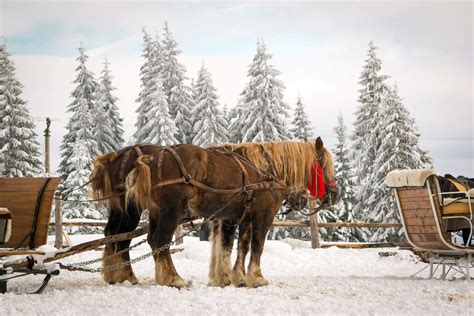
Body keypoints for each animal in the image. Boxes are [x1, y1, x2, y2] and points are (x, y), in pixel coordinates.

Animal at [124, 137, 338, 288]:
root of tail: (155, 159)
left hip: (157, 213)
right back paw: (173, 278)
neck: (267, 170)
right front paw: (256, 278)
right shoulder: (263, 214)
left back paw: (163, 276)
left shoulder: (239, 217)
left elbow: (239, 245)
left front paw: (236, 277)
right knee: (161, 241)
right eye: (325, 165)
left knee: (153, 240)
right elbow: (257, 245)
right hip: (170, 213)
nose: (336, 194)